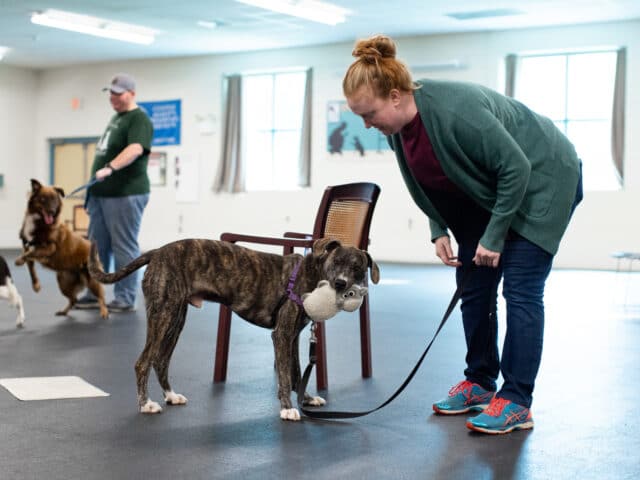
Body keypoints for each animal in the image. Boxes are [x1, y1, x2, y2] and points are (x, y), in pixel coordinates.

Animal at [15, 180, 108, 318]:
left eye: (55, 200)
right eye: (43, 199)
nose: (52, 211)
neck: (38, 221)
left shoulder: (49, 247)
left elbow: (30, 253)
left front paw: (18, 261)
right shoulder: (27, 248)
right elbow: (31, 267)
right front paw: (36, 285)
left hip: (91, 280)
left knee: (101, 296)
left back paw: (104, 312)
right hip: (63, 282)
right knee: (74, 299)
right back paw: (63, 311)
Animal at [89, 236, 380, 420]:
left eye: (357, 267)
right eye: (337, 262)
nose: (341, 284)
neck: (311, 274)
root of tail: (157, 252)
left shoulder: (293, 336)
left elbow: (297, 372)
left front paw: (306, 398)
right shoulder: (282, 335)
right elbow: (285, 376)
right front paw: (287, 408)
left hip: (175, 318)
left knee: (160, 360)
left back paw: (170, 395)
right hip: (163, 315)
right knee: (143, 362)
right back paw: (146, 404)